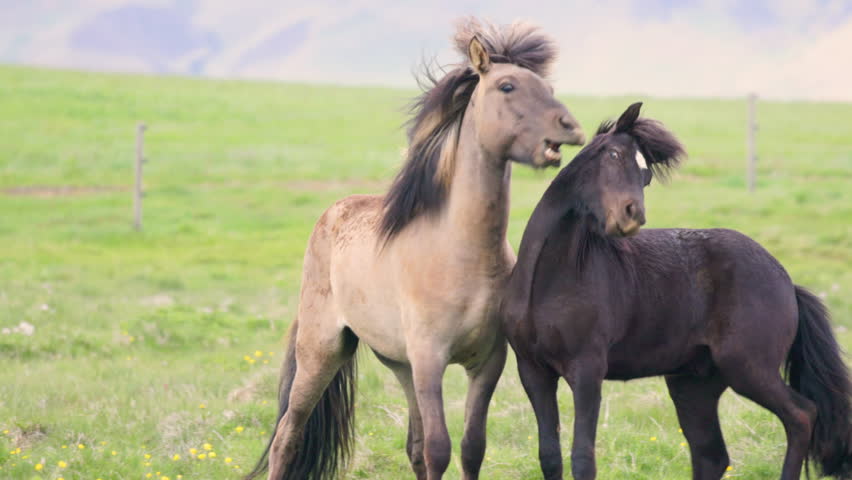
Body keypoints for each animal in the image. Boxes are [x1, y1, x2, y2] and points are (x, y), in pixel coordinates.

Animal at [246, 19, 586, 480]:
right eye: (508, 86)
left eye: (547, 87)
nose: (570, 127)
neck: (463, 255)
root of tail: (332, 213)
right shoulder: (430, 361)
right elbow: (440, 449)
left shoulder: (487, 362)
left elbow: (470, 447)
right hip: (323, 352)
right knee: (287, 435)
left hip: (399, 365)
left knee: (413, 444)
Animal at [501, 102, 852, 480]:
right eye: (613, 154)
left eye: (646, 176)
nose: (632, 215)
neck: (550, 280)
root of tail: (786, 281)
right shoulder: (534, 371)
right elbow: (550, 455)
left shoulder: (587, 370)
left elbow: (582, 458)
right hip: (694, 383)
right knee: (711, 454)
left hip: (748, 368)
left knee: (802, 415)